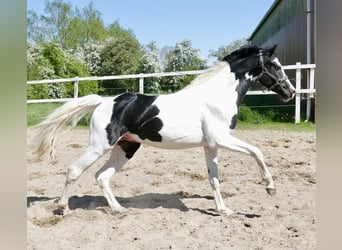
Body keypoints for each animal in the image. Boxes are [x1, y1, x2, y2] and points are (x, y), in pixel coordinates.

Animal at [33, 44, 296, 215]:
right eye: (275, 65)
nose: (290, 92)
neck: (216, 97)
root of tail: (104, 102)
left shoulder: (211, 145)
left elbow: (214, 179)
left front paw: (223, 210)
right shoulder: (222, 139)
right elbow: (257, 151)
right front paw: (270, 187)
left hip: (126, 147)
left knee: (102, 176)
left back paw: (118, 209)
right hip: (100, 146)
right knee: (74, 170)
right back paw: (63, 207)